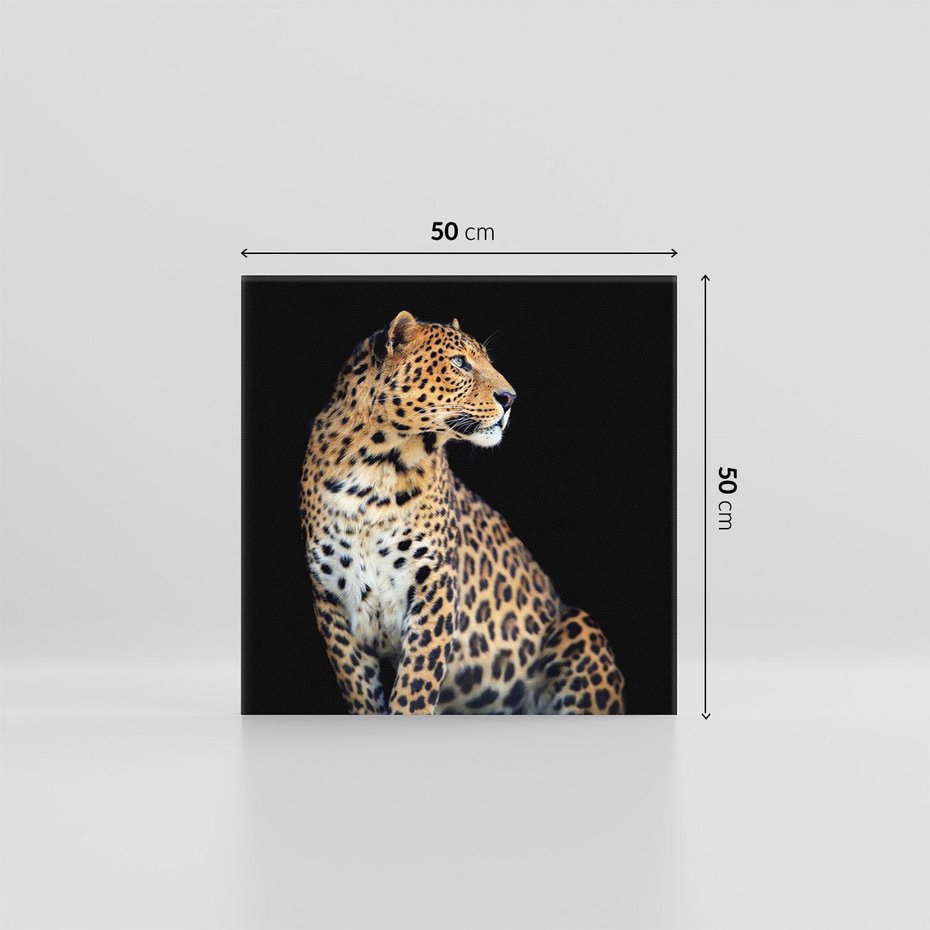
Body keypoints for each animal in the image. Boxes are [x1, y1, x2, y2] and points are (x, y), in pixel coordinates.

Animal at [300, 311, 625, 714]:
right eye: (459, 363)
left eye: (486, 361)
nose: (510, 397)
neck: (375, 468)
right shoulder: (331, 602)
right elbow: (362, 693)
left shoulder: (434, 584)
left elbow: (415, 686)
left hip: (578, 627)